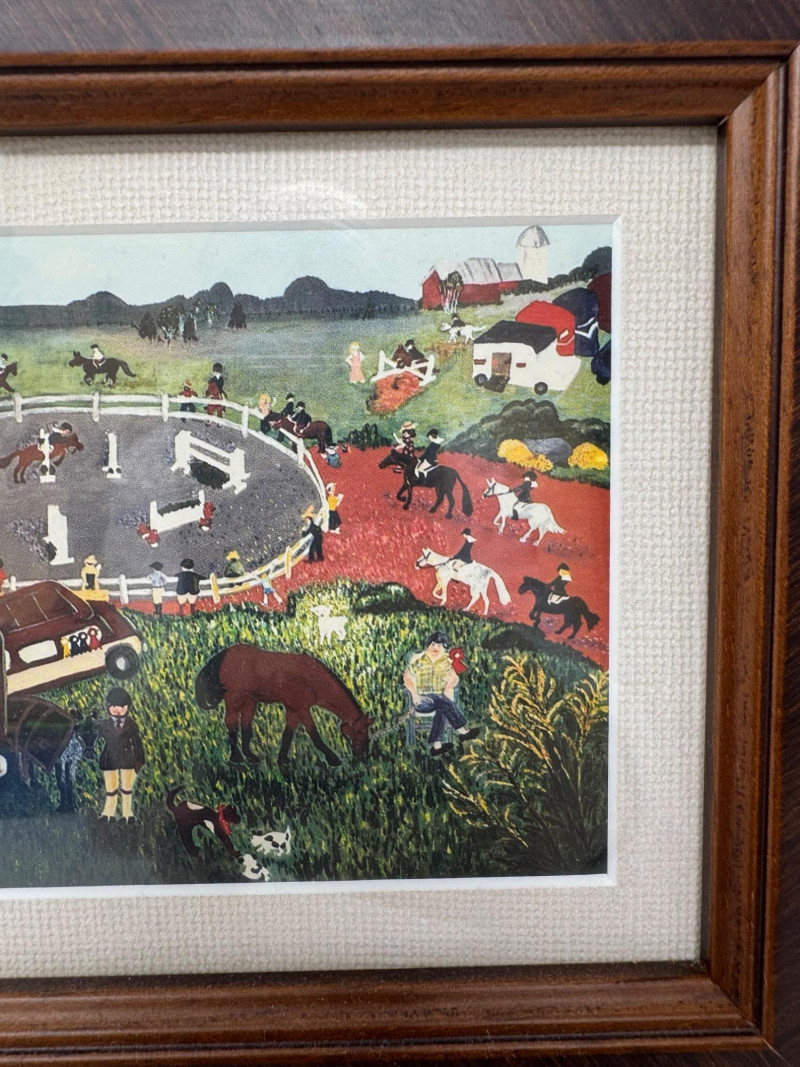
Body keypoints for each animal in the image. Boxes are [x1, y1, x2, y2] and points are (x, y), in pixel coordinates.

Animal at [195, 645, 374, 767]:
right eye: (359, 730)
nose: (365, 755)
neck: (312, 677)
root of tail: (222, 655)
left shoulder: (293, 709)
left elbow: (288, 734)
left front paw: (282, 759)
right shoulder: (301, 708)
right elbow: (314, 734)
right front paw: (332, 758)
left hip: (250, 701)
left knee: (245, 724)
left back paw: (250, 756)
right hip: (234, 699)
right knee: (231, 723)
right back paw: (236, 758)